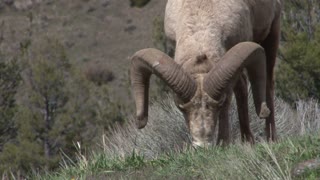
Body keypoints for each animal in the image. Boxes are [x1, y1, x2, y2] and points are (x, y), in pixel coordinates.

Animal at [130, 0, 282, 146]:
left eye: (219, 103)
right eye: (180, 107)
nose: (202, 144)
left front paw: (223, 144)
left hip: (271, 35)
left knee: (267, 83)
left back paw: (271, 138)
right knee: (242, 88)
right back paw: (247, 141)